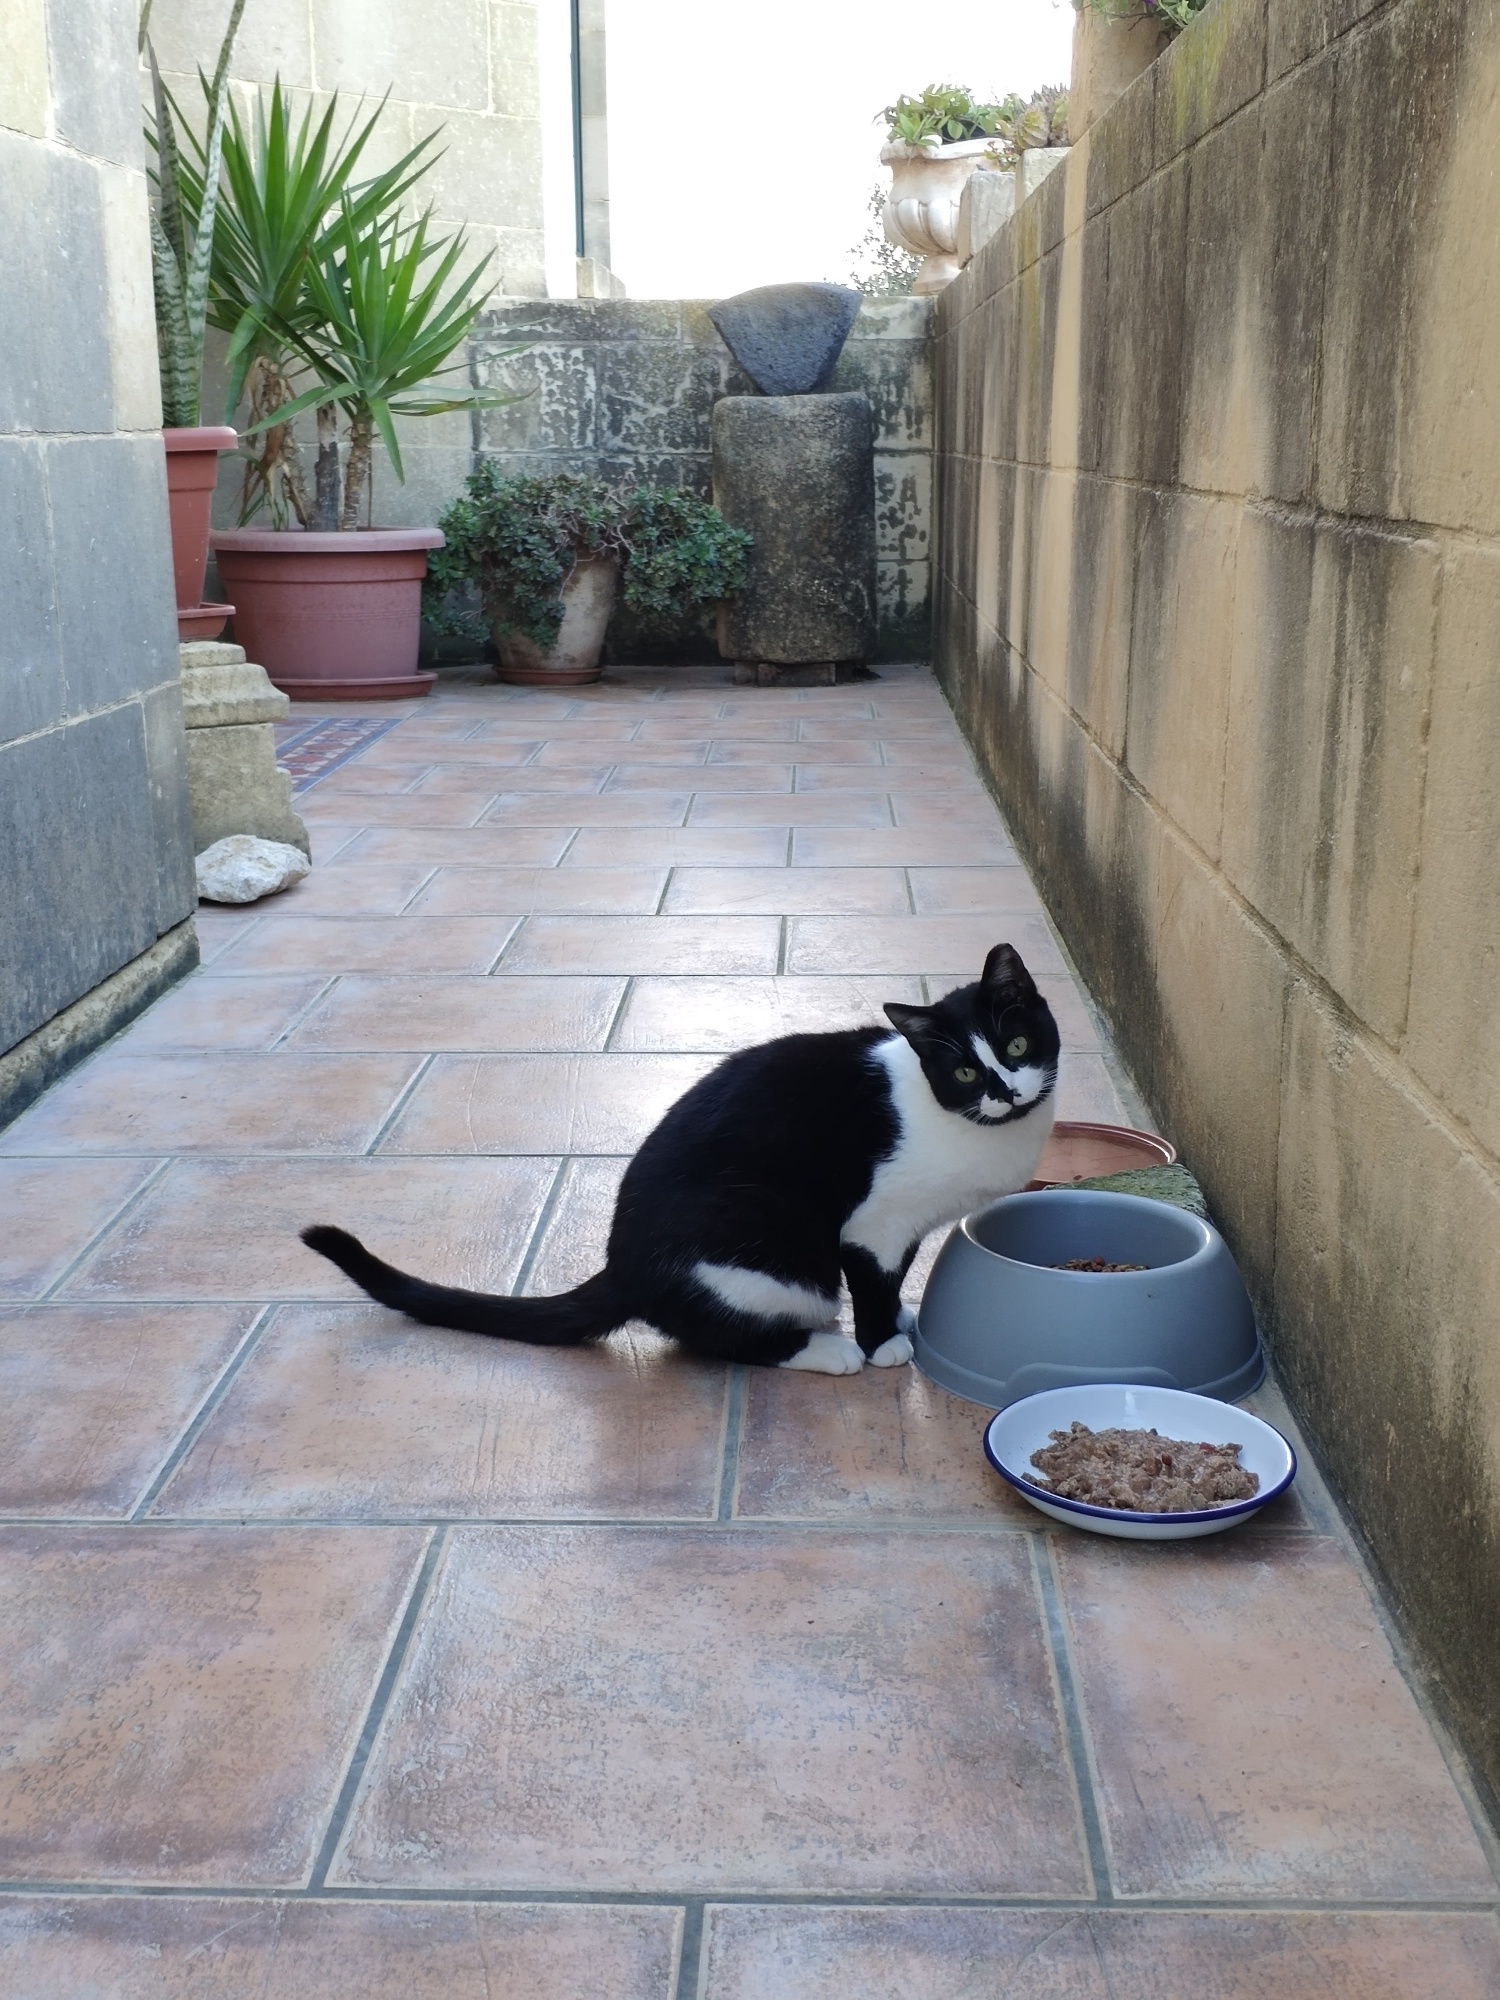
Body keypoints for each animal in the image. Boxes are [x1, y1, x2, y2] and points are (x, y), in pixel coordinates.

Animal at [302, 941, 1060, 1375]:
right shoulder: (873, 1225)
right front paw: (883, 1343)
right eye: (964, 1073)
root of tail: (622, 1266)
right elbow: (873, 1283)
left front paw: (900, 1315)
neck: (966, 1123)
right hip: (772, 1260)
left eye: (1018, 1046)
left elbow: (895, 1279)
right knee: (721, 1336)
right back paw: (827, 1351)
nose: (1007, 1090)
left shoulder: (904, 1231)